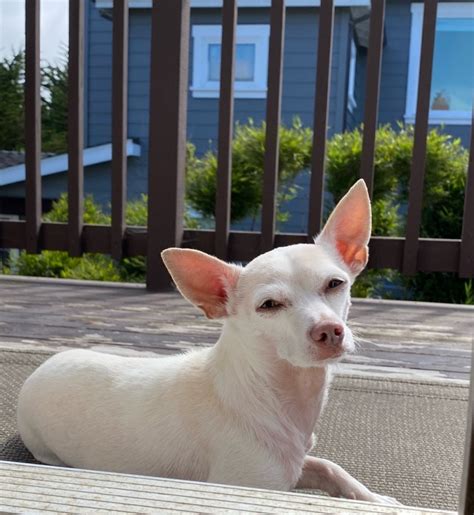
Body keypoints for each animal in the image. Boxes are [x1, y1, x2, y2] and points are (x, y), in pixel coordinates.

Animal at [16, 179, 398, 506]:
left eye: (335, 284)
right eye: (269, 305)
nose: (329, 330)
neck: (280, 394)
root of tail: (41, 369)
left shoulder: (292, 466)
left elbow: (330, 467)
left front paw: (375, 498)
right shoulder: (257, 485)